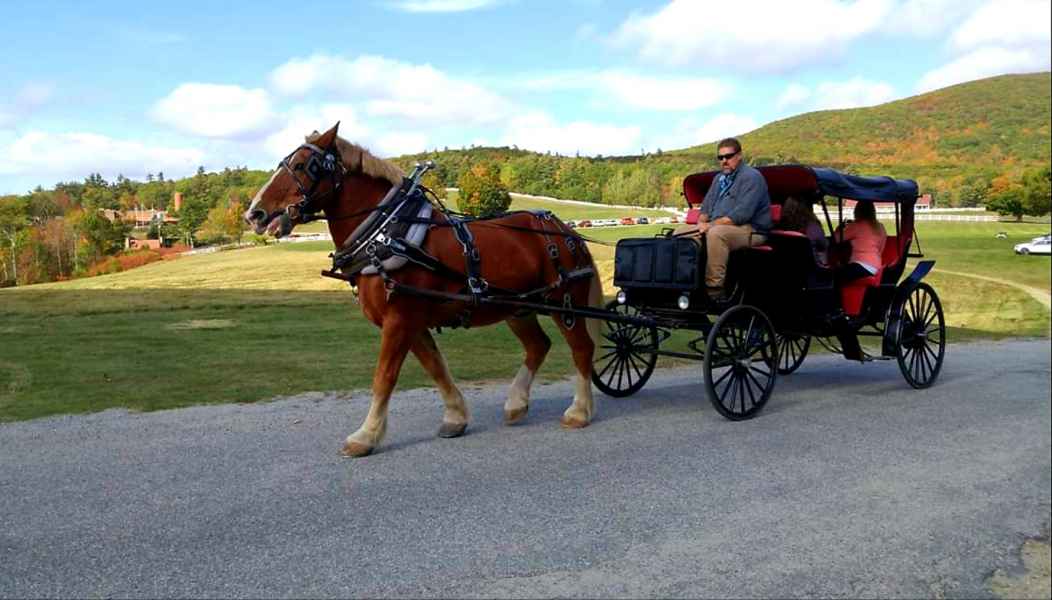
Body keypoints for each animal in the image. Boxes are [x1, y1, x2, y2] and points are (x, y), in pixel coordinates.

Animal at [244, 123, 601, 454]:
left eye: (304, 165)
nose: (254, 214)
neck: (386, 234)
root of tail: (565, 229)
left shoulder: (400, 320)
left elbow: (384, 377)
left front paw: (365, 436)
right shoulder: (411, 323)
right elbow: (436, 368)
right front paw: (455, 417)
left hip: (565, 301)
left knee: (582, 348)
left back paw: (579, 411)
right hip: (517, 307)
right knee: (538, 346)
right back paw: (516, 404)